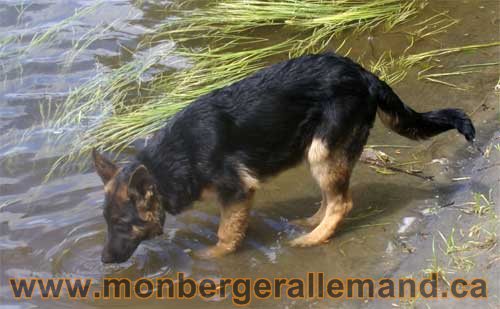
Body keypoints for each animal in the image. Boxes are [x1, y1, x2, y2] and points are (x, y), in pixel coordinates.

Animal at [93, 52, 472, 262]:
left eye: (123, 224)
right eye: (108, 223)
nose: (105, 262)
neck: (170, 160)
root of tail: (364, 74)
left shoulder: (237, 192)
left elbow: (226, 234)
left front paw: (210, 258)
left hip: (322, 149)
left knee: (342, 202)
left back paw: (313, 238)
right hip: (316, 150)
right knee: (331, 196)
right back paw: (310, 223)